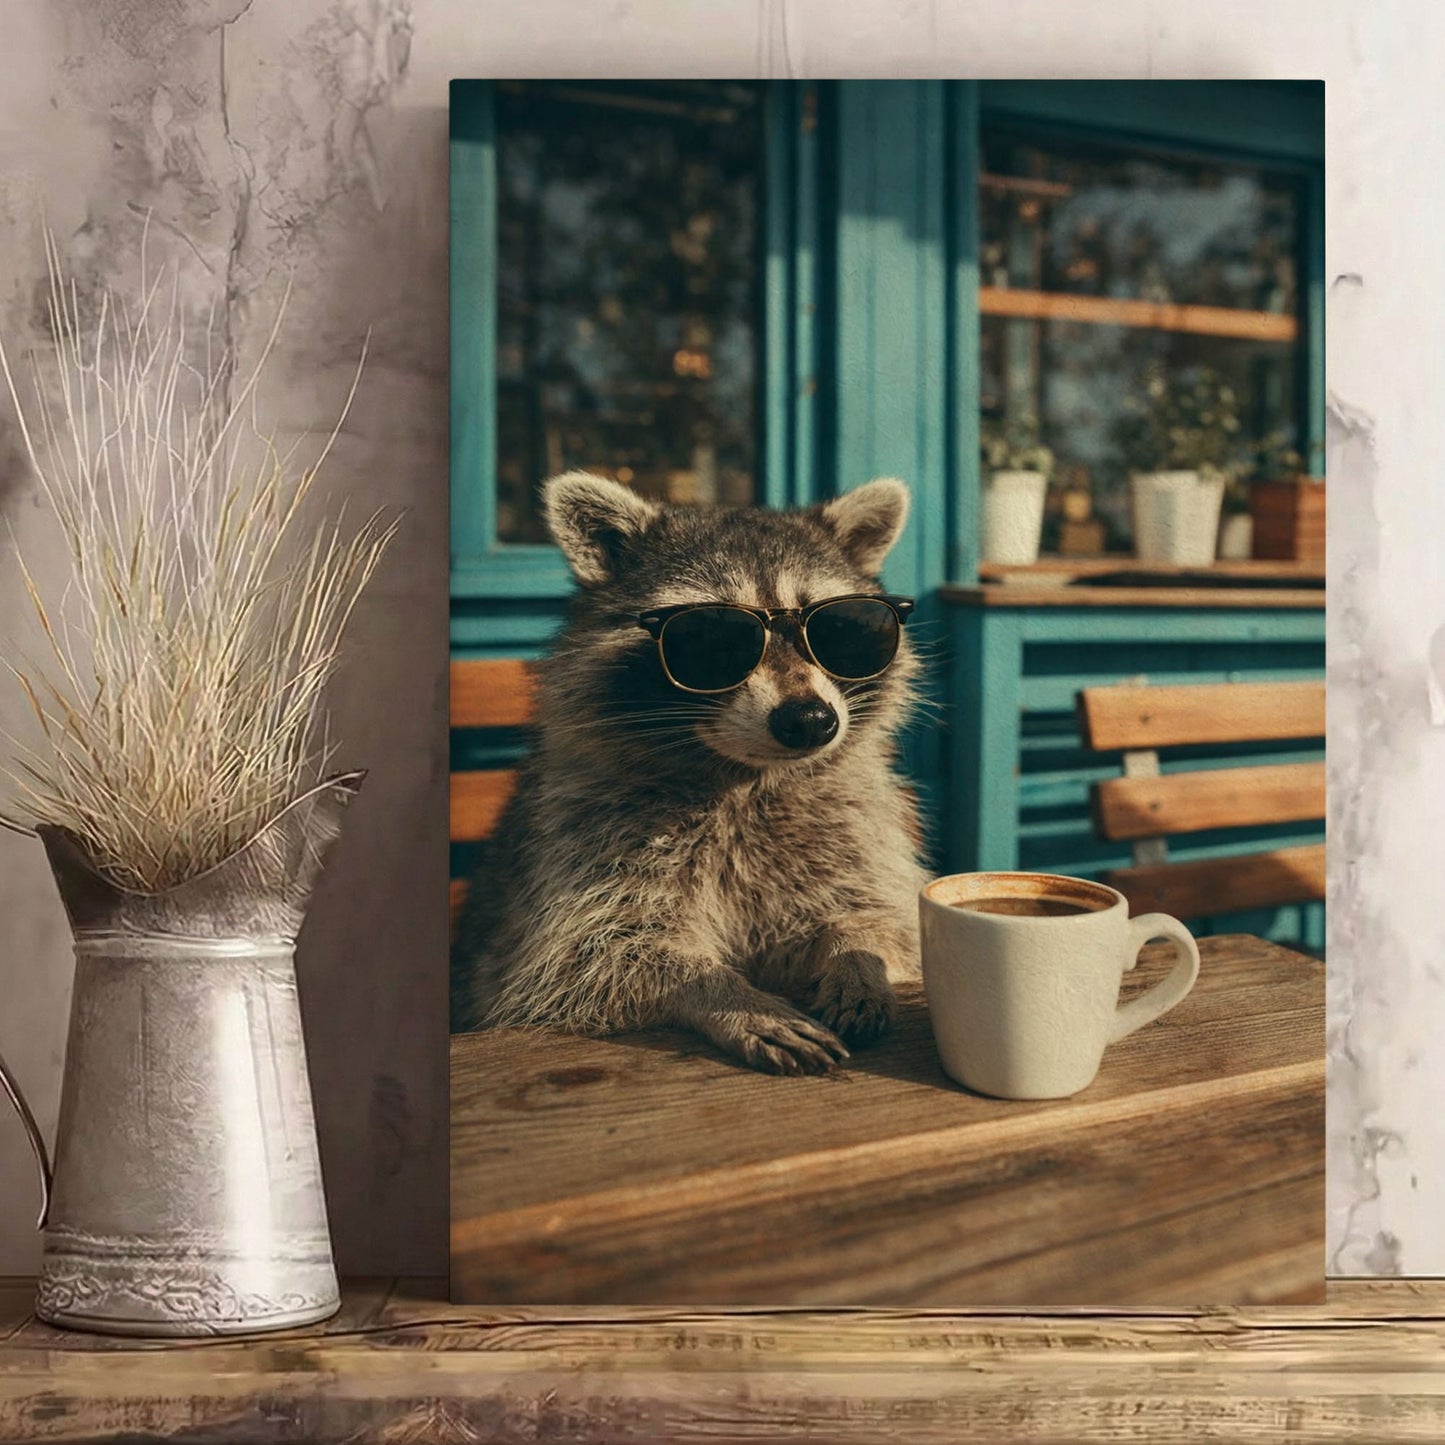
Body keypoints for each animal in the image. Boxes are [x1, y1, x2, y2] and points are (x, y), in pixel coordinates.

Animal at [450, 472, 929, 1074]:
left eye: (842, 629)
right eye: (711, 638)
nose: (809, 721)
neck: (742, 776)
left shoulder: (847, 835)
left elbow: (875, 917)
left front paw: (856, 958)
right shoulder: (580, 849)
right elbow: (591, 956)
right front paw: (721, 991)